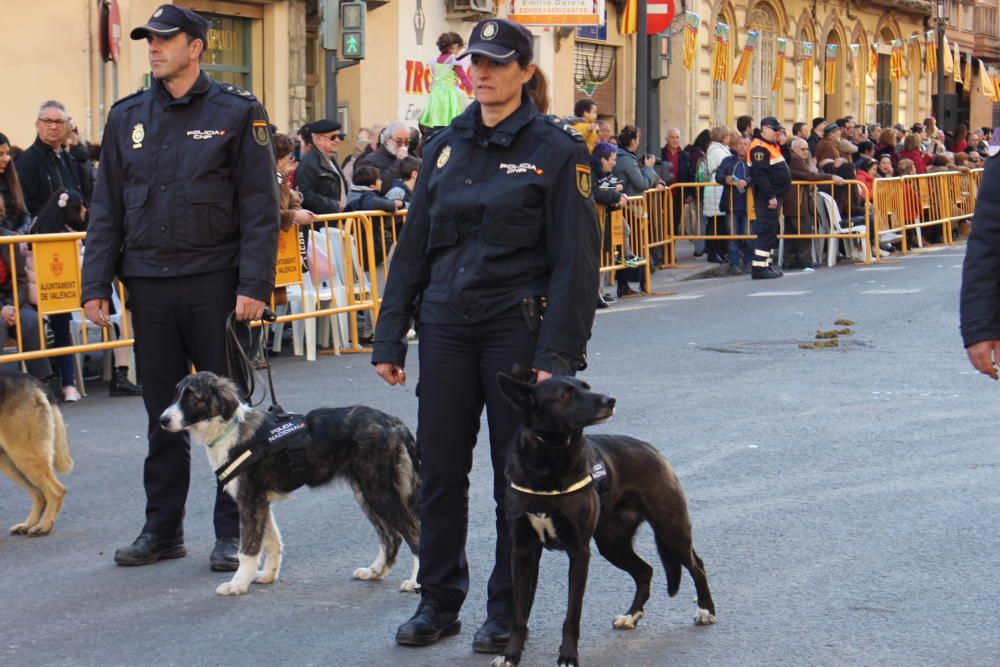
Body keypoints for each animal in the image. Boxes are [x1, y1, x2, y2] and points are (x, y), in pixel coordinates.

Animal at [0, 370, 72, 536]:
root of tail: (33, 380)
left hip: (24, 458)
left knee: (56, 491)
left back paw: (44, 526)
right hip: (12, 464)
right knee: (40, 495)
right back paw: (28, 524)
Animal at [159, 374, 422, 596]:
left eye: (192, 396)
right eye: (176, 394)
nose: (162, 420)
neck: (228, 429)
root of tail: (394, 422)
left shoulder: (249, 501)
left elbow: (248, 550)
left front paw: (237, 584)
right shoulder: (261, 501)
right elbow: (271, 542)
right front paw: (267, 575)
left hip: (378, 490)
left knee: (413, 532)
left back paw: (416, 581)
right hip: (364, 492)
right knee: (391, 536)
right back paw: (374, 571)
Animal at [490, 368, 712, 664]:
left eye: (586, 386)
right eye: (567, 394)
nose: (611, 400)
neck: (549, 462)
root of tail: (652, 450)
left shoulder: (579, 553)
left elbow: (572, 616)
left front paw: (568, 657)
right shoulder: (522, 552)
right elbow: (518, 615)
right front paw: (511, 656)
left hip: (671, 530)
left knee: (697, 565)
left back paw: (706, 611)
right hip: (612, 544)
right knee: (645, 570)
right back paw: (631, 616)